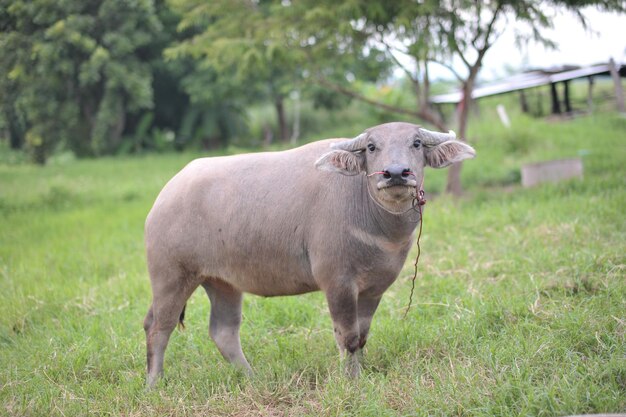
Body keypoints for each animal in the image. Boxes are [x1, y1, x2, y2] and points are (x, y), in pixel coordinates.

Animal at [141, 121, 472, 386]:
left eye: (416, 143)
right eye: (371, 147)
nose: (395, 173)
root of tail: (164, 196)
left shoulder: (374, 288)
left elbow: (363, 335)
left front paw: (363, 371)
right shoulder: (337, 283)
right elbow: (348, 337)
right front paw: (351, 379)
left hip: (222, 282)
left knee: (223, 331)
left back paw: (251, 377)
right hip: (171, 275)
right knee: (158, 326)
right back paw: (154, 383)